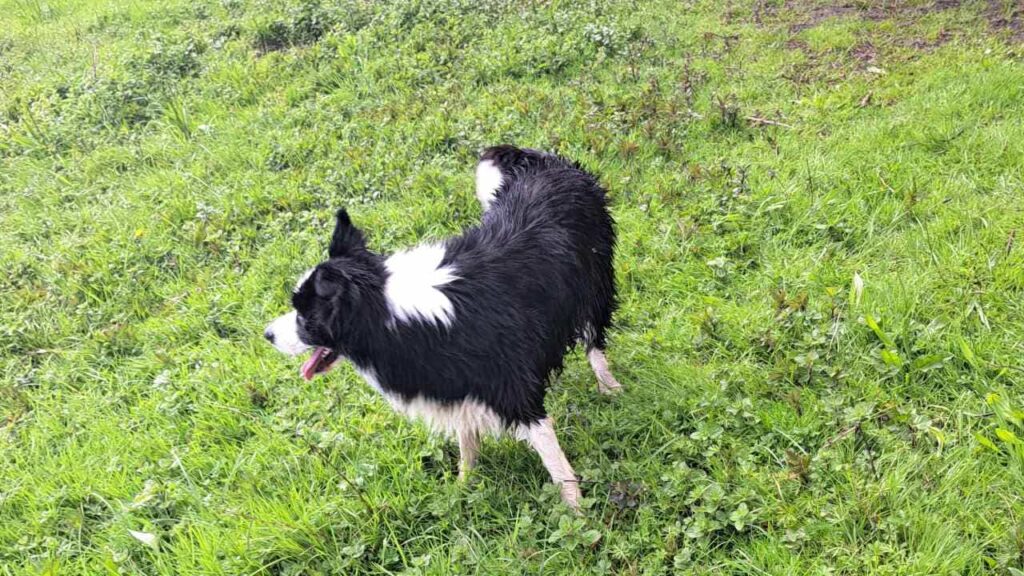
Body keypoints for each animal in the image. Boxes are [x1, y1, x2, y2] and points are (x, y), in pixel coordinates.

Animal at [264, 144, 618, 506]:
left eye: (305, 317)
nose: (267, 335)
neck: (388, 311)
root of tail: (539, 161)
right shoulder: (454, 381)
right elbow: (467, 441)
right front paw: (463, 487)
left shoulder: (514, 390)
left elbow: (552, 458)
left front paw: (576, 508)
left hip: (594, 285)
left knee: (594, 341)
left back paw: (609, 388)